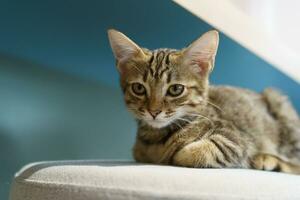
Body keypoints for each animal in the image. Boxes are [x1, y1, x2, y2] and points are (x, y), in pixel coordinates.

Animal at [109, 28, 300, 174]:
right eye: (138, 88)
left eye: (175, 89)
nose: (153, 111)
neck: (157, 137)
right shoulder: (138, 152)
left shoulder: (238, 137)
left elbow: (192, 153)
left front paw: (177, 154)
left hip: (279, 105)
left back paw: (268, 160)